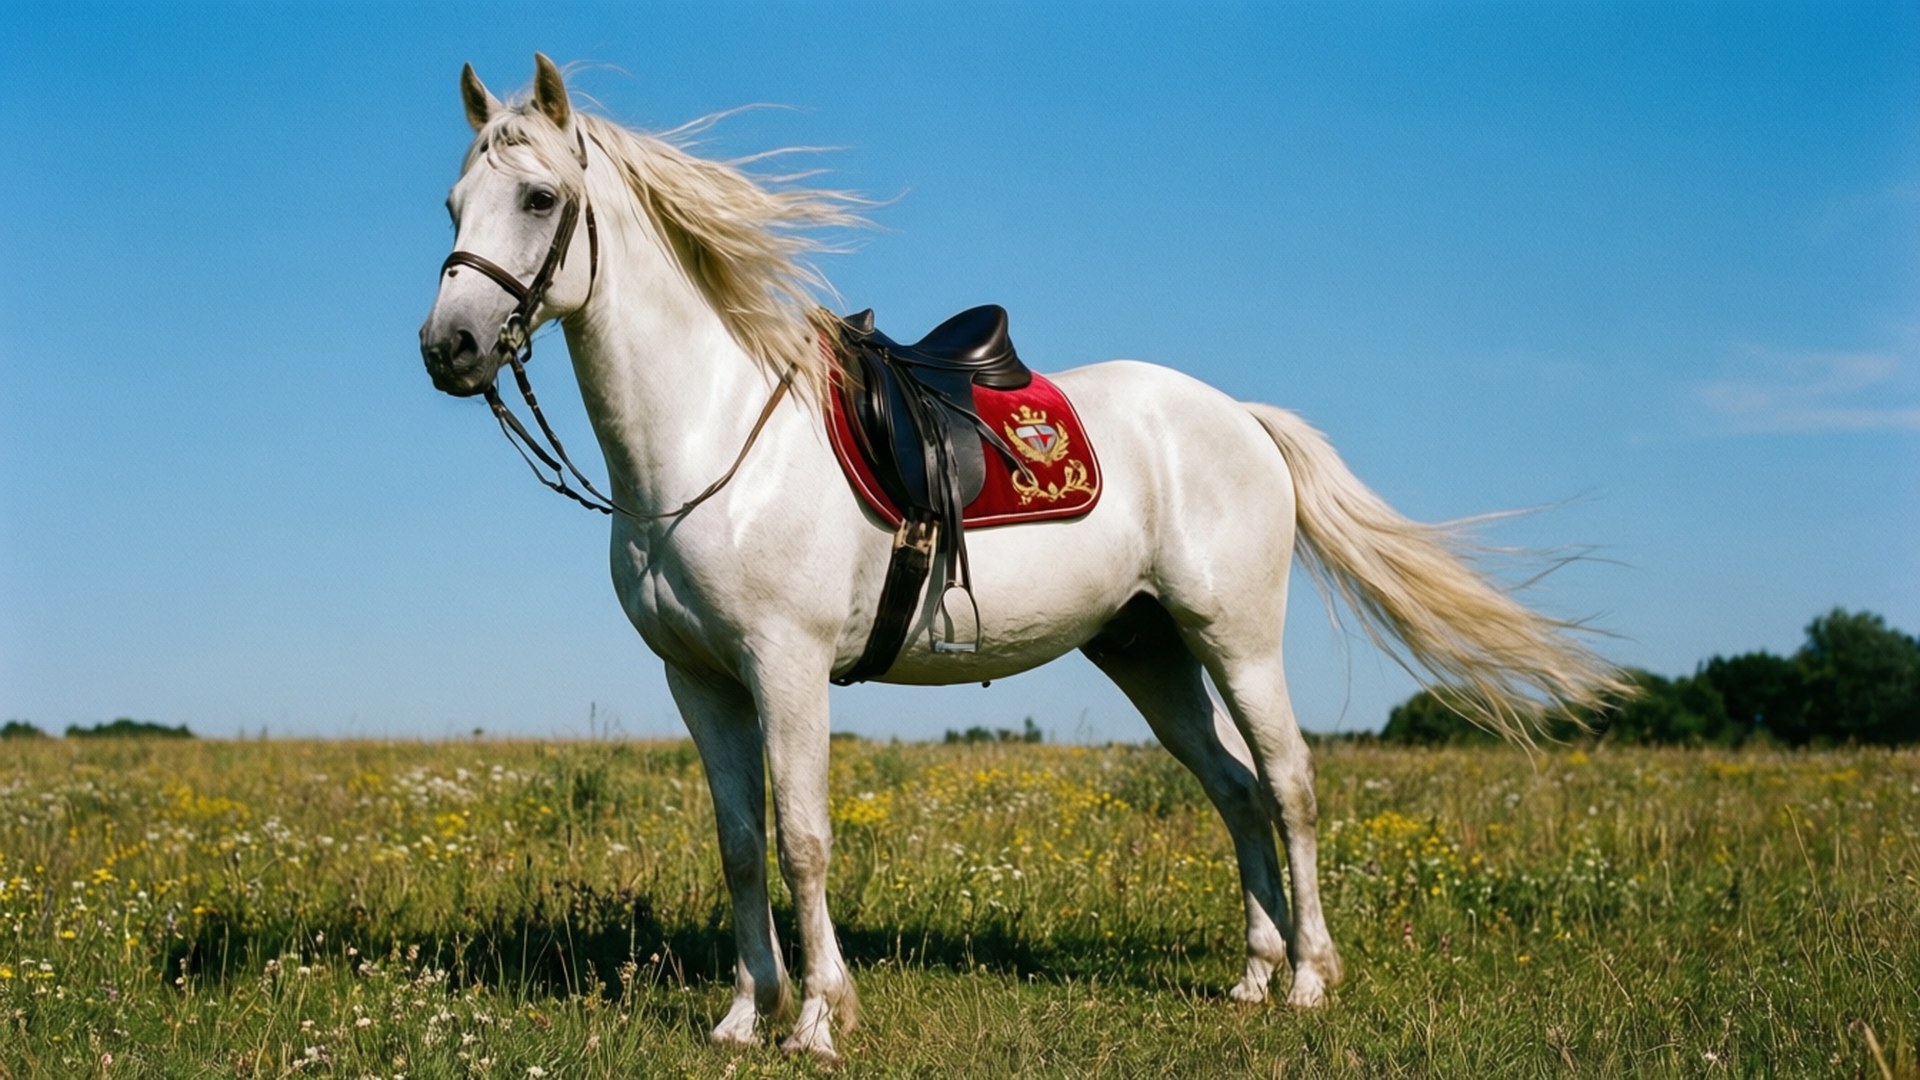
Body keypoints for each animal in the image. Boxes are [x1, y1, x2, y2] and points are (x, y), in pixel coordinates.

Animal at [418, 54, 1627, 1061]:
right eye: (453, 205)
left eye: (538, 200)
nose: (448, 349)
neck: (710, 442)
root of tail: (1237, 415)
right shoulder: (701, 681)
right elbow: (741, 845)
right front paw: (740, 1018)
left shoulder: (788, 668)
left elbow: (803, 839)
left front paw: (819, 1019)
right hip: (1146, 653)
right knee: (1236, 792)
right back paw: (1252, 975)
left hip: (1234, 638)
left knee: (1287, 785)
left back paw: (1310, 981)